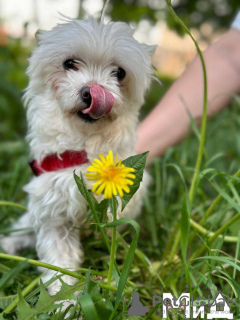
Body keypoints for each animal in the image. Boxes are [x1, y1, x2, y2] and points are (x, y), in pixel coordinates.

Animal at [0, 14, 155, 296]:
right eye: (69, 64)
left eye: (120, 73)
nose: (90, 91)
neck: (84, 151)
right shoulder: (53, 214)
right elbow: (59, 265)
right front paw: (64, 300)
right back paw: (11, 243)